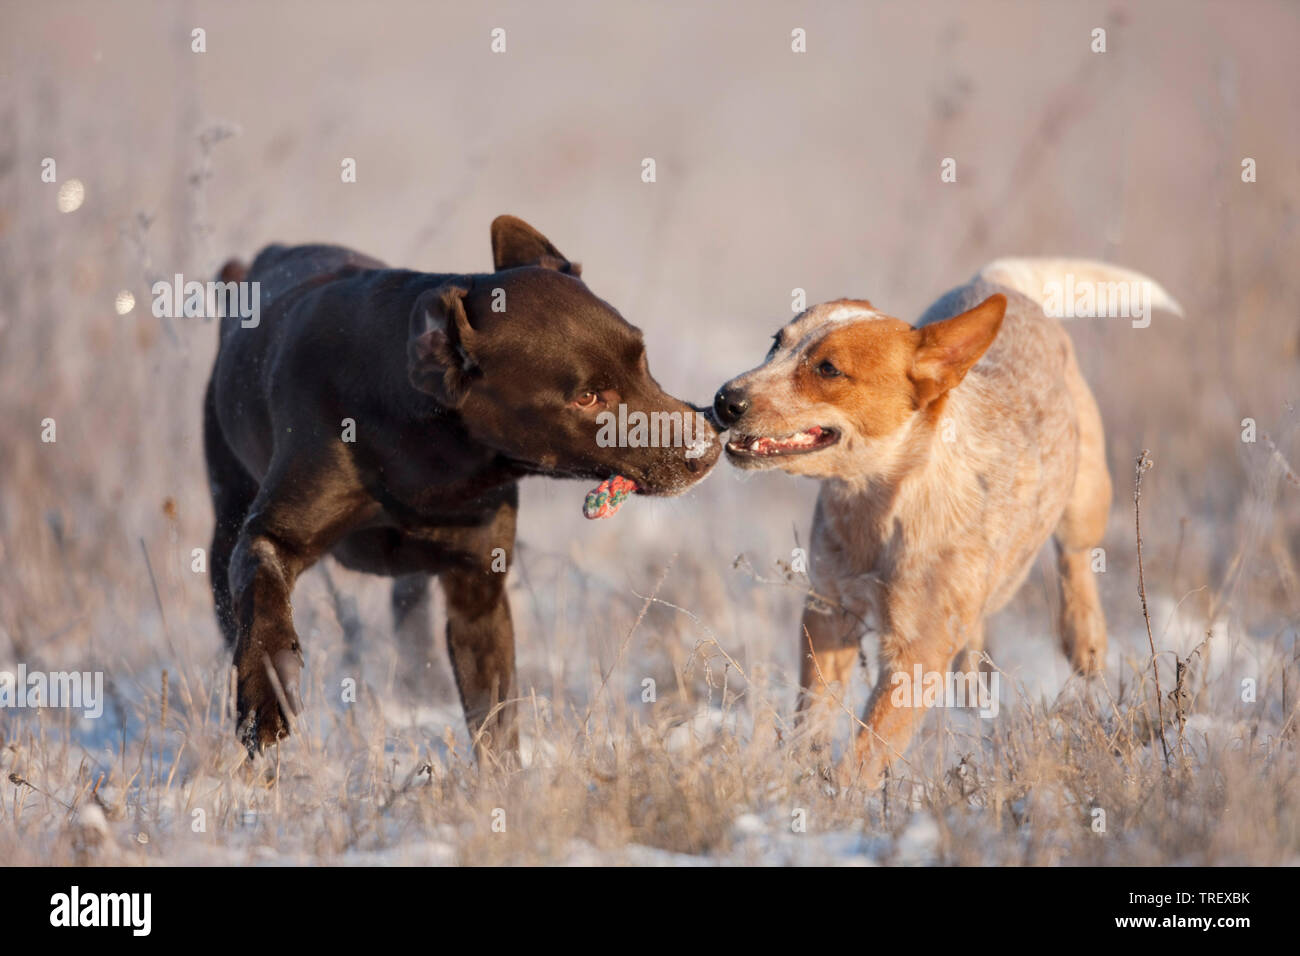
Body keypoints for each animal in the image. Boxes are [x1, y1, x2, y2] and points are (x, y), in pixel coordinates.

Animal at [717, 256, 1185, 785]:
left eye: (829, 368)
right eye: (776, 342)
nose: (724, 399)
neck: (877, 506)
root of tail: (1001, 282)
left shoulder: (917, 653)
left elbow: (866, 753)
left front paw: (837, 797)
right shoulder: (827, 612)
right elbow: (812, 713)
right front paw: (797, 774)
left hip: (1085, 491)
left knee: (1076, 555)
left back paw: (1084, 639)